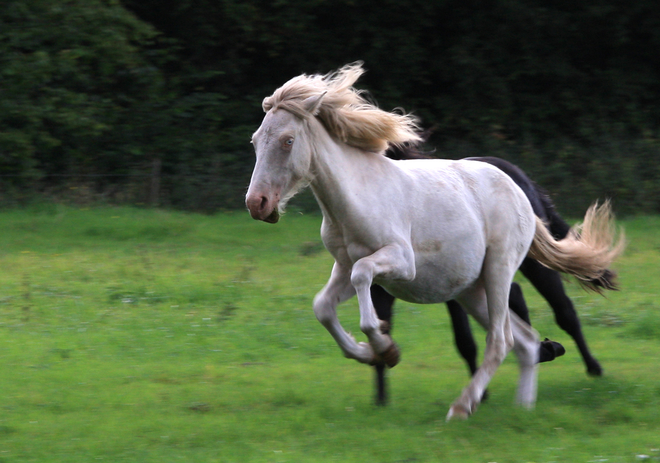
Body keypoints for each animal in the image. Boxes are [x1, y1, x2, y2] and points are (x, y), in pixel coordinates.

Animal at [372, 155, 620, 406]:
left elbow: (465, 340)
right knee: (517, 295)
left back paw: (591, 366)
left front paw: (479, 394)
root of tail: (517, 173)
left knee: (564, 311)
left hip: (534, 265)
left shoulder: (452, 287)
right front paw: (381, 396)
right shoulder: (381, 290)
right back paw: (542, 352)